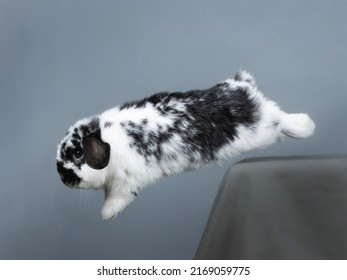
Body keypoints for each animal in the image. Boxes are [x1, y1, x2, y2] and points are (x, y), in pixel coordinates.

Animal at [56, 70, 316, 221]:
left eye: (77, 153)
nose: (62, 177)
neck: (108, 138)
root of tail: (242, 87)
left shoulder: (127, 180)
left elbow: (117, 197)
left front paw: (106, 214)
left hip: (261, 128)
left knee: (281, 118)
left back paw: (306, 125)